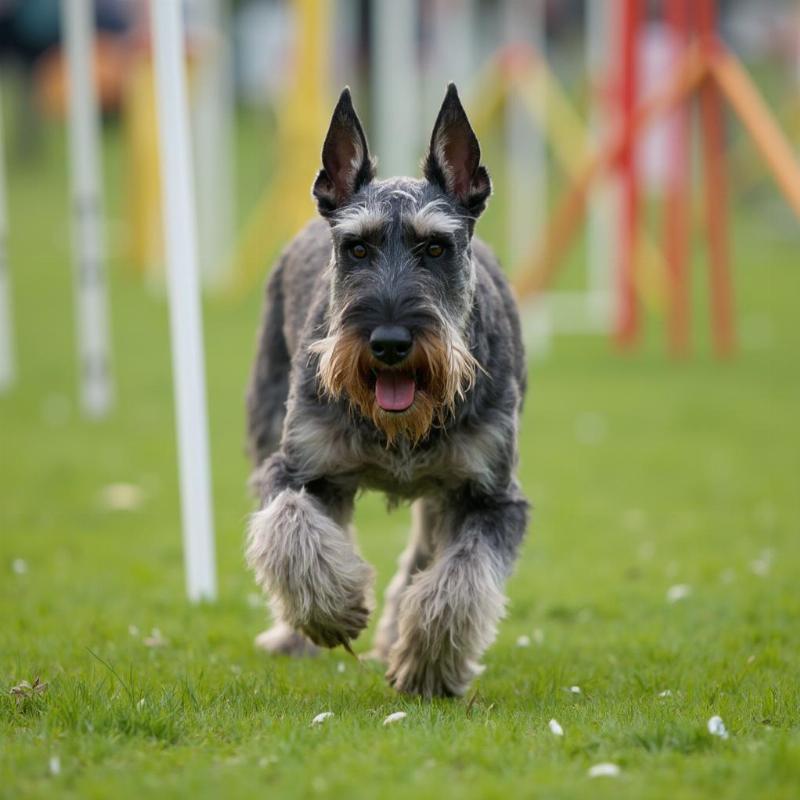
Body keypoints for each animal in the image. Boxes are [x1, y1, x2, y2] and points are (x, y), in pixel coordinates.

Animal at [247, 84, 528, 696]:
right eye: (356, 248)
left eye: (436, 248)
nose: (391, 343)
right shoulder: (298, 469)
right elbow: (291, 529)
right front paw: (336, 609)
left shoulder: (488, 496)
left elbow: (461, 579)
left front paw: (426, 664)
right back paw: (292, 634)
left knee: (422, 559)